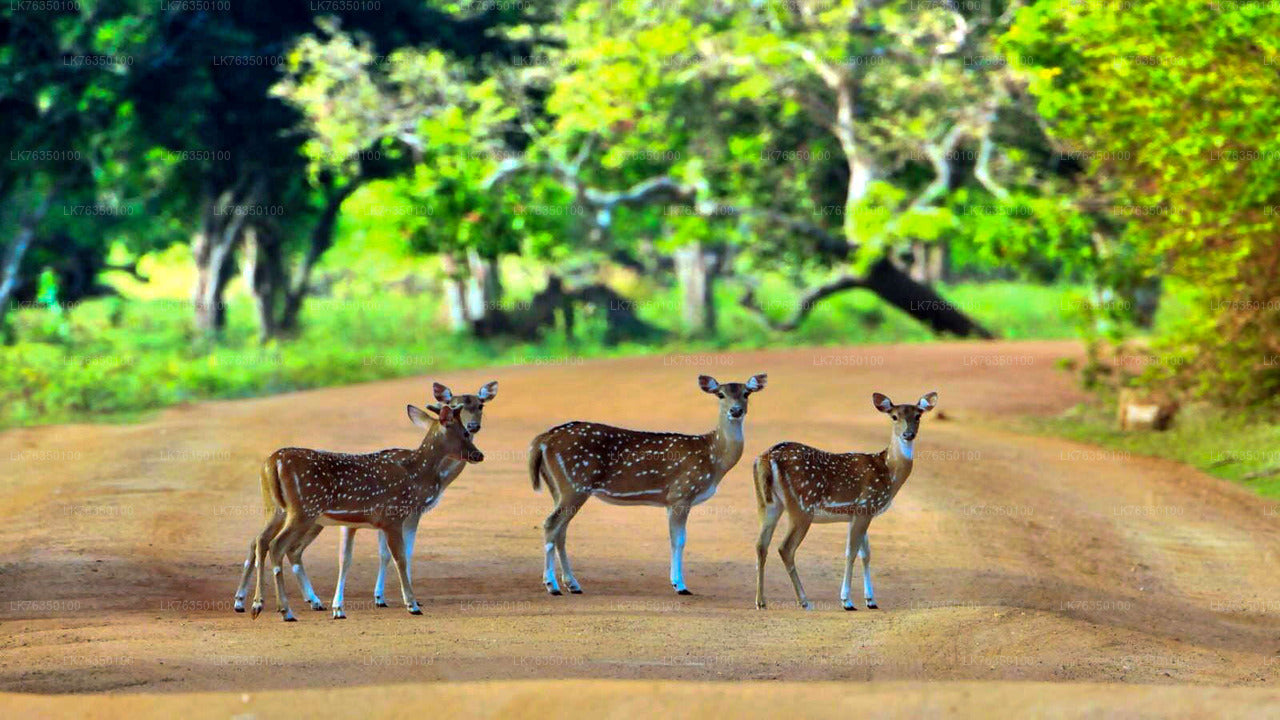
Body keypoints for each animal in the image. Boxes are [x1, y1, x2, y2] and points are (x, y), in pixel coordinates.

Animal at [235, 379, 499, 614]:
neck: (415, 474)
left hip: (276, 508)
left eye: (479, 407)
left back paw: (253, 603)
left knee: (260, 541)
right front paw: (411, 604)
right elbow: (399, 557)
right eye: (463, 433)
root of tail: (273, 462)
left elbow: (372, 557)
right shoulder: (394, 515)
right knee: (277, 545)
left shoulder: (377, 521)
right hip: (304, 510)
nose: (479, 455)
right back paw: (283, 609)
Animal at [524, 371, 762, 591]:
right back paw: (552, 585)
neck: (714, 456)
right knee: (551, 524)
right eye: (720, 394)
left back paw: (573, 584)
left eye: (746, 393)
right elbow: (679, 540)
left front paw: (675, 582)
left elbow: (674, 539)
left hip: (559, 487)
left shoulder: (670, 500)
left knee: (561, 530)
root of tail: (543, 439)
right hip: (575, 484)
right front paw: (680, 585)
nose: (736, 410)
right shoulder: (682, 492)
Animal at [747, 389, 942, 607]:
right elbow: (851, 553)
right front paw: (847, 601)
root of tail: (767, 458)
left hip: (767, 503)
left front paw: (871, 600)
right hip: (802, 505)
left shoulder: (859, 513)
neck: (888, 471)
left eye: (918, 416)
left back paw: (761, 601)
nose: (908, 434)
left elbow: (866, 554)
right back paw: (804, 600)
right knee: (785, 548)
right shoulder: (866, 505)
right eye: (894, 416)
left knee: (760, 545)